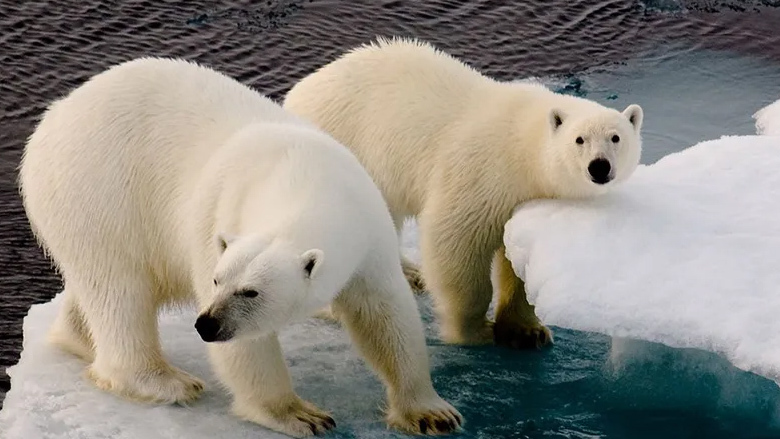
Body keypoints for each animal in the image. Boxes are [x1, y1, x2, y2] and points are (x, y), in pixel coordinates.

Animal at [19, 56, 464, 438]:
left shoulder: (367, 229)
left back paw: (78, 339)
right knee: (119, 290)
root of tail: (54, 116)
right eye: (218, 281)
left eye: (251, 291)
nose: (206, 324)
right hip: (98, 191)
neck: (305, 177)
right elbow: (249, 349)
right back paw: (166, 382)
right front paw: (300, 414)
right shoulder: (219, 213)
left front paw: (431, 413)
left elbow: (385, 313)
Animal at [284, 37, 644, 352]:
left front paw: (527, 332)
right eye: (579, 139)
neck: (522, 148)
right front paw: (474, 330)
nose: (599, 167)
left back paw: (409, 274)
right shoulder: (482, 174)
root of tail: (296, 93)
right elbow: (456, 243)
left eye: (616, 137)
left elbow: (518, 260)